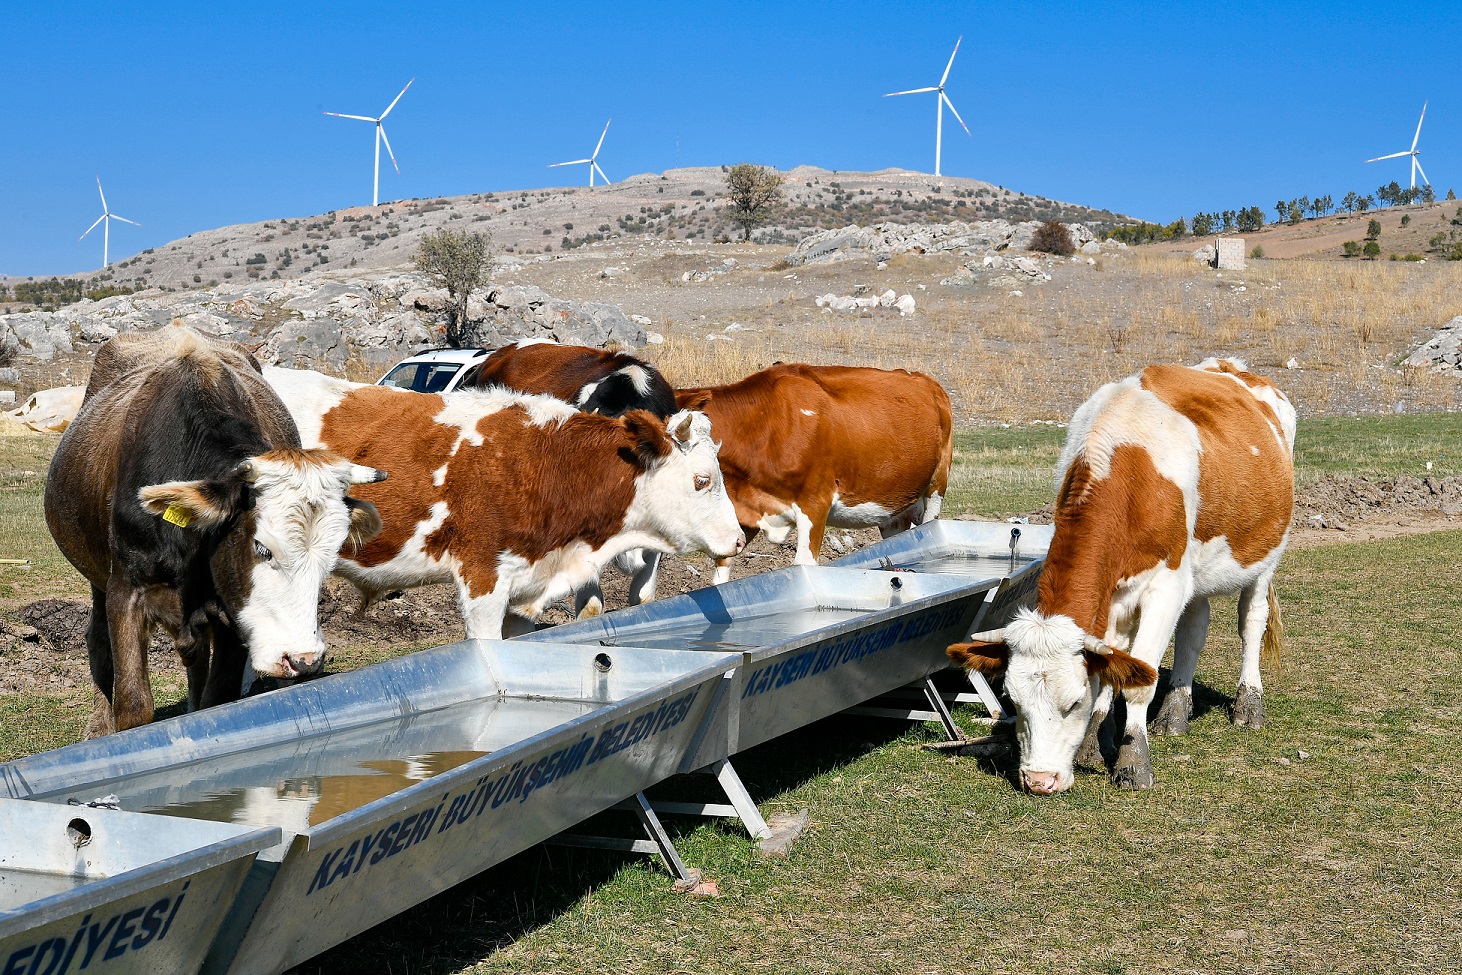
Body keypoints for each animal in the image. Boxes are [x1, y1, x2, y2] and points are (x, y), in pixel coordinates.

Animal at [47, 324, 383, 736]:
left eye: (331, 558)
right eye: (262, 548)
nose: (303, 660)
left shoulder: (232, 614)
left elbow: (217, 702)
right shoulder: (126, 590)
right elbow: (134, 705)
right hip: (97, 578)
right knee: (97, 638)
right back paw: (98, 725)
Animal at [675, 362, 953, 584]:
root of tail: (927, 381)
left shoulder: (815, 504)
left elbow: (804, 565)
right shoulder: (746, 506)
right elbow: (722, 570)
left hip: (936, 486)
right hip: (891, 509)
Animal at [941, 358, 1298, 795]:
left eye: (1073, 702)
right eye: (1013, 699)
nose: (1039, 780)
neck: (1126, 461)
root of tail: (1233, 367)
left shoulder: (1165, 586)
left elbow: (1140, 677)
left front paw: (1132, 762)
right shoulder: (1112, 594)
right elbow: (1113, 661)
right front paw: (1095, 742)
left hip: (1267, 553)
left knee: (1251, 621)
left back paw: (1249, 704)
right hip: (1196, 571)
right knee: (1195, 628)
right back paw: (1175, 712)